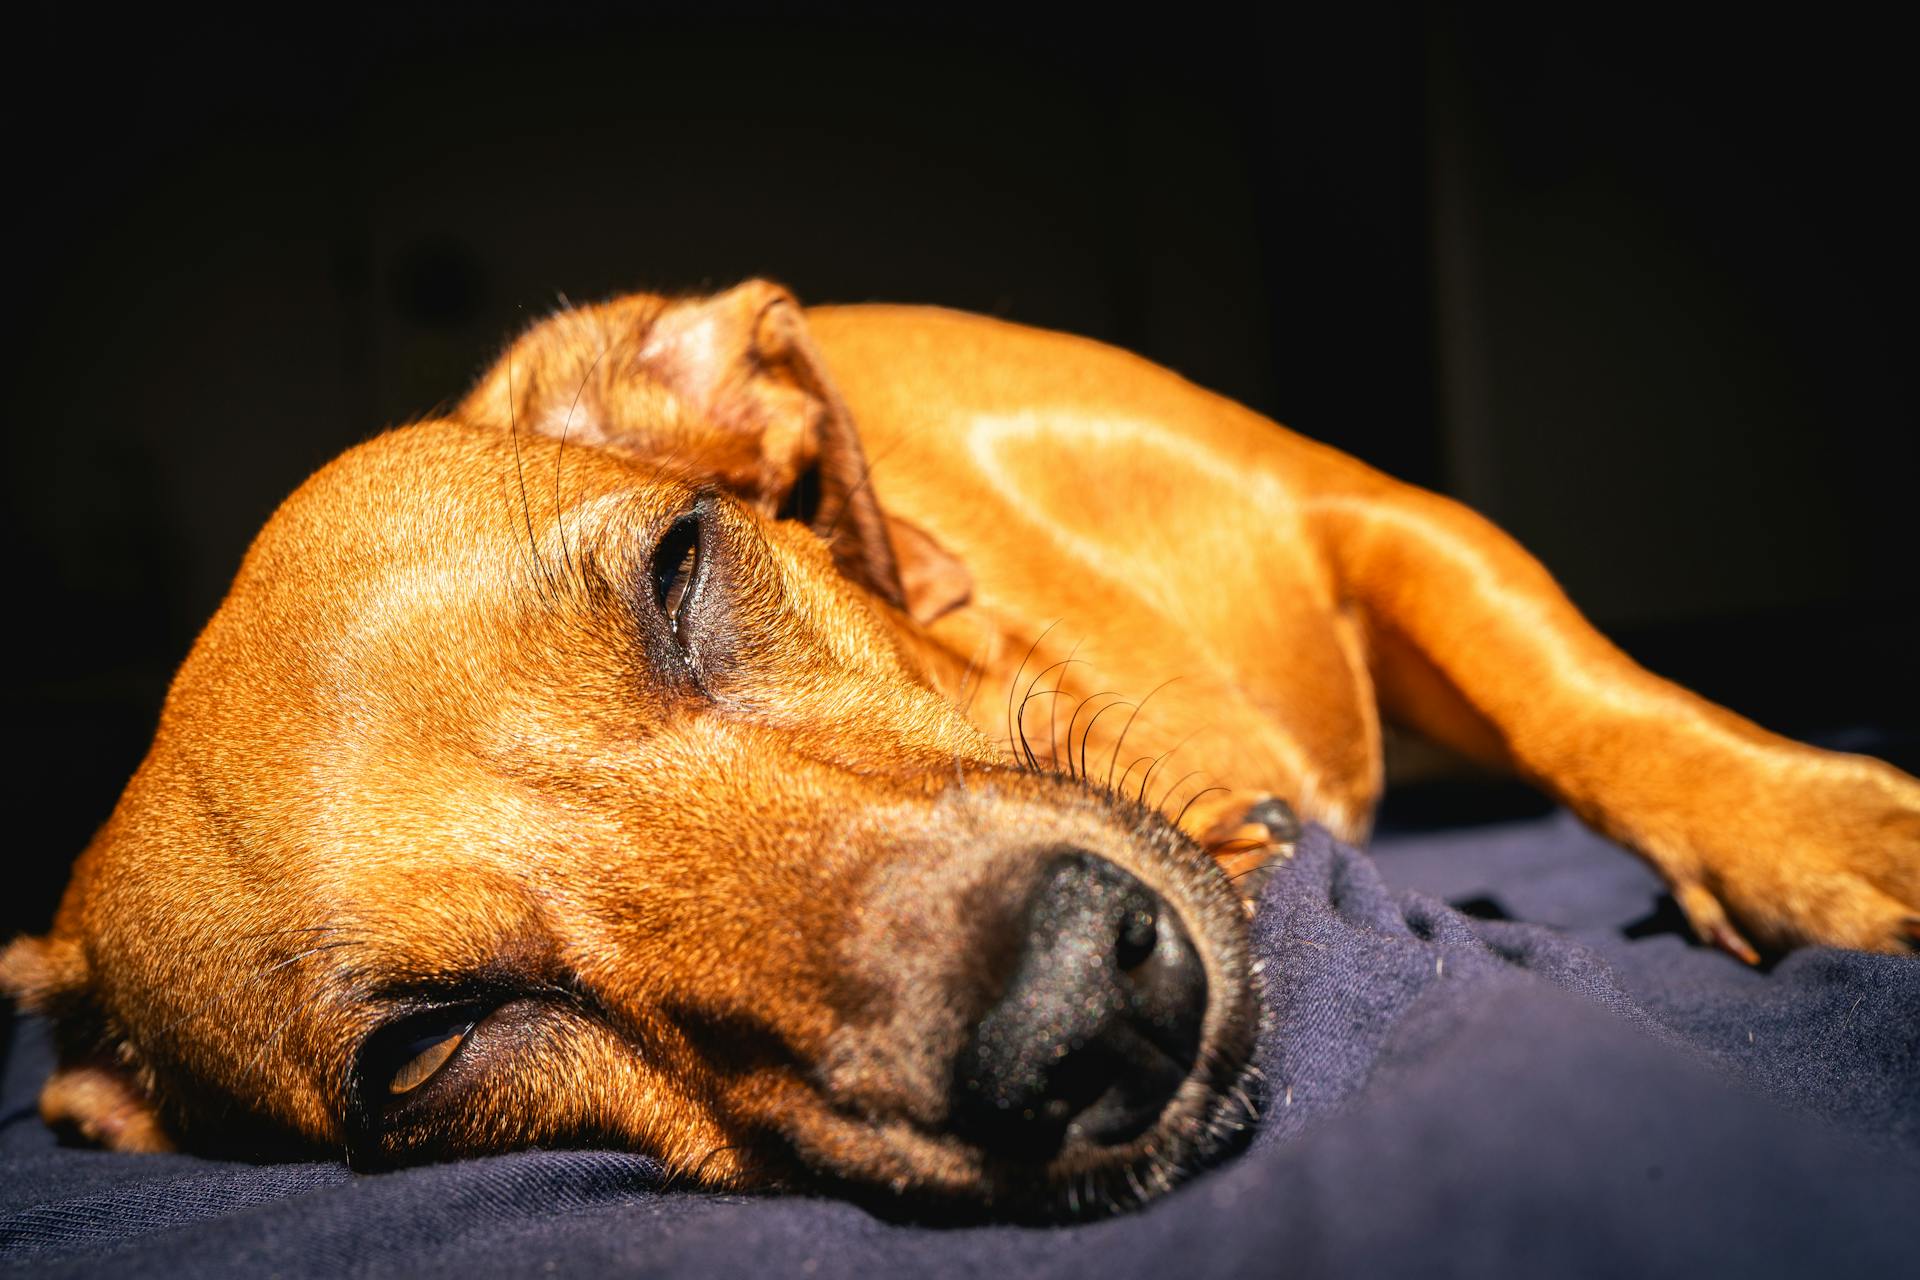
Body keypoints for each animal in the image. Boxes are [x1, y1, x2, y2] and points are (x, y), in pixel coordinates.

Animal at [3, 282, 1920, 1220]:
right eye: (422, 1052)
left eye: (680, 563)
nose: (1083, 1016)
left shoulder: (1368, 515)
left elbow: (1577, 691)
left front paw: (1816, 823)